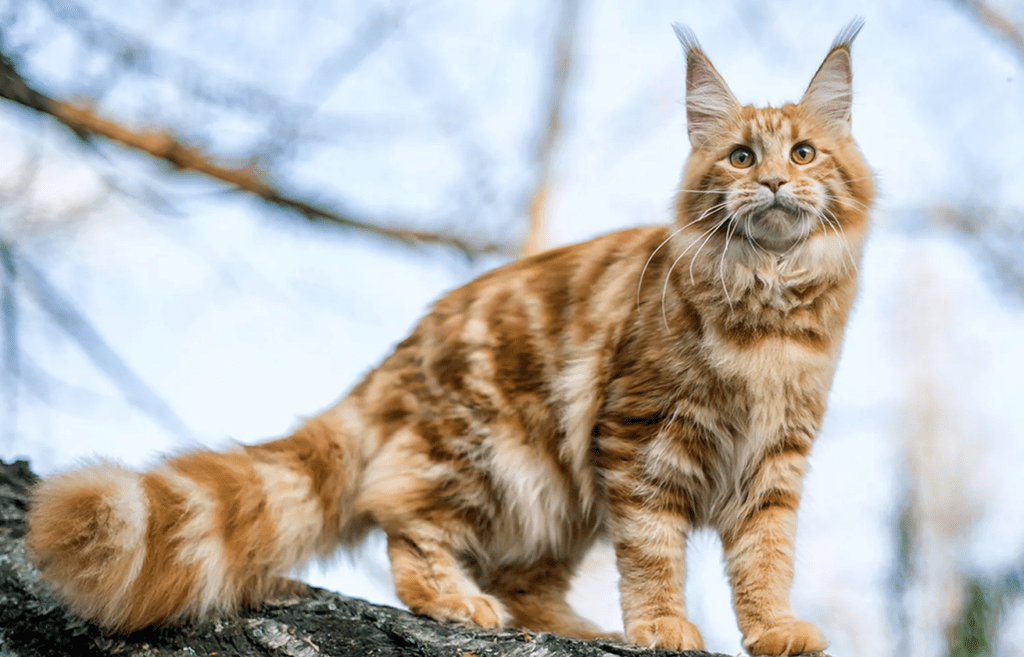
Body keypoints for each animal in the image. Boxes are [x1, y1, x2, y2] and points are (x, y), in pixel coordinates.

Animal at [24, 20, 872, 654]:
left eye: (803, 153)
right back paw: (458, 604)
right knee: (407, 530)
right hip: (490, 454)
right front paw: (661, 625)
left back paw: (576, 626)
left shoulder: (775, 460)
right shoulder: (642, 439)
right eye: (739, 157)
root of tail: (391, 363)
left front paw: (772, 629)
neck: (768, 309)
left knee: (523, 580)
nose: (772, 182)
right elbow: (654, 553)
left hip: (557, 497)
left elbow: (764, 560)